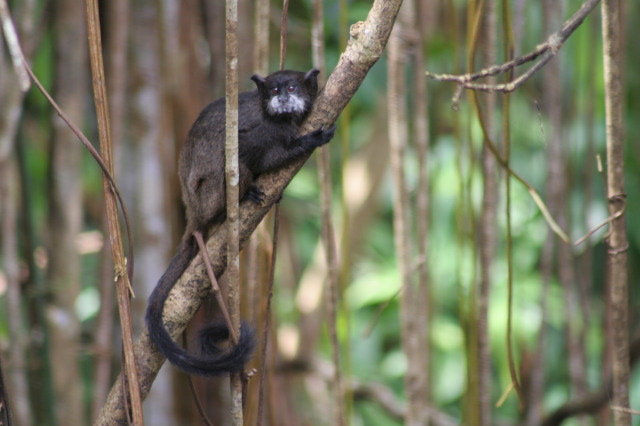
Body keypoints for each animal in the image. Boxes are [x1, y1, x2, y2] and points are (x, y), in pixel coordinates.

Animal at [145, 69, 336, 376]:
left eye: (291, 88)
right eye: (273, 91)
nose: (282, 99)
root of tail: (193, 211)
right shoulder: (263, 131)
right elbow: (247, 151)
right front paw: (308, 143)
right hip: (208, 194)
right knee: (232, 166)